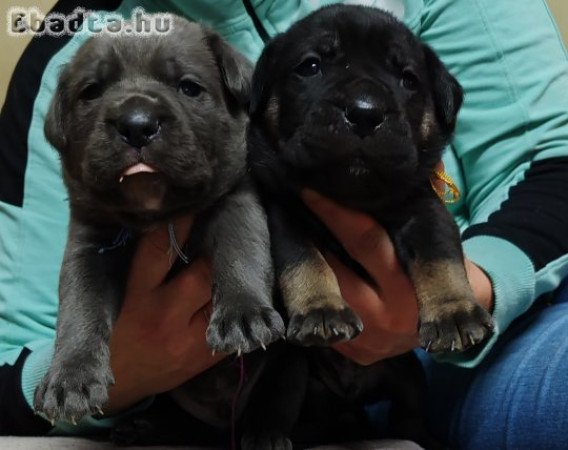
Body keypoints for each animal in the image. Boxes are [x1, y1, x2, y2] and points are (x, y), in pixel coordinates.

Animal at [33, 15, 284, 426]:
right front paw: (70, 378)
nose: (136, 123)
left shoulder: (235, 200)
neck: (159, 214)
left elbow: (241, 252)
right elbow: (79, 306)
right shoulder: (89, 244)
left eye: (189, 87)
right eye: (91, 92)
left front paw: (243, 314)